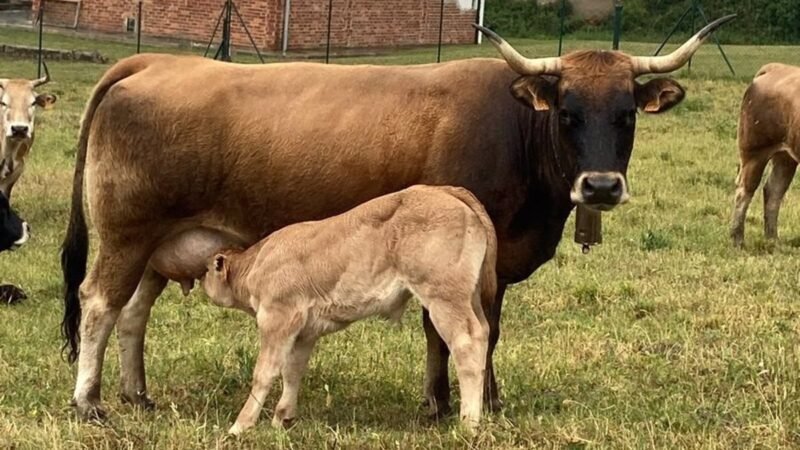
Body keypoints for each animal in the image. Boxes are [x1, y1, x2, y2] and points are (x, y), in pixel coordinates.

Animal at [202, 185, 494, 434]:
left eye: (207, 270)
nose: (202, 281)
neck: (258, 263)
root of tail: (443, 190)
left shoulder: (278, 317)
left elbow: (265, 372)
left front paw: (241, 425)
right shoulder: (305, 332)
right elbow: (292, 370)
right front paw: (282, 418)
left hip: (444, 296)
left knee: (466, 344)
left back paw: (469, 423)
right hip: (469, 297)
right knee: (483, 333)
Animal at [732, 62, 800, 246]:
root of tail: (776, 67)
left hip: (785, 157)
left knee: (773, 190)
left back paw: (772, 239)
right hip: (754, 153)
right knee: (744, 191)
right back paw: (737, 239)